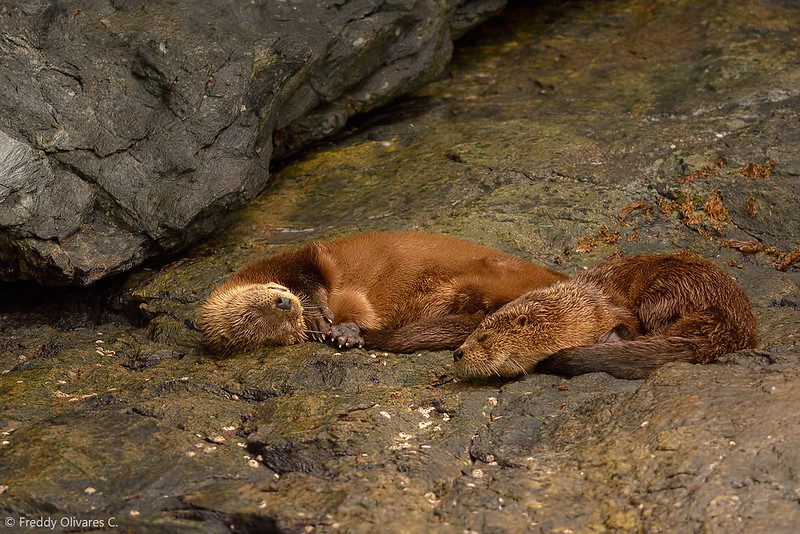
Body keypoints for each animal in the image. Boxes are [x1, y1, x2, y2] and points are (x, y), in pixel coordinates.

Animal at [201, 232, 567, 354]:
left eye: (251, 309)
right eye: (261, 323)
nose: (283, 305)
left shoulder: (297, 259)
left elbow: (311, 279)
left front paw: (321, 316)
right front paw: (342, 333)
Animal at [453, 252, 759, 380]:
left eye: (483, 338)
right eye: (472, 333)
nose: (457, 353)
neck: (585, 309)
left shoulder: (612, 310)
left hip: (667, 292)